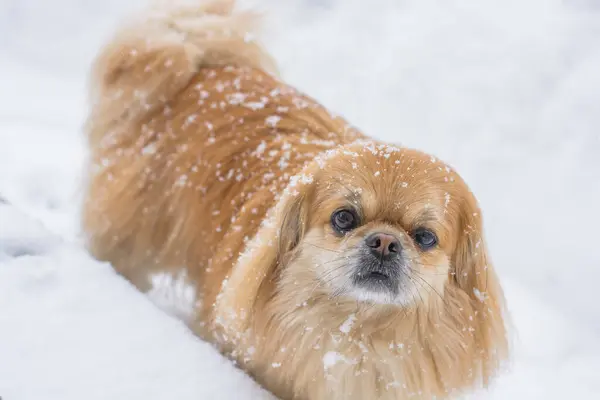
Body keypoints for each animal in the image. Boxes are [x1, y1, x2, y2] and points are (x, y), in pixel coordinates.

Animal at [82, 1, 508, 398]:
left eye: (424, 237)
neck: (358, 329)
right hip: (133, 237)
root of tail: (204, 64)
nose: (385, 241)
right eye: (344, 218)